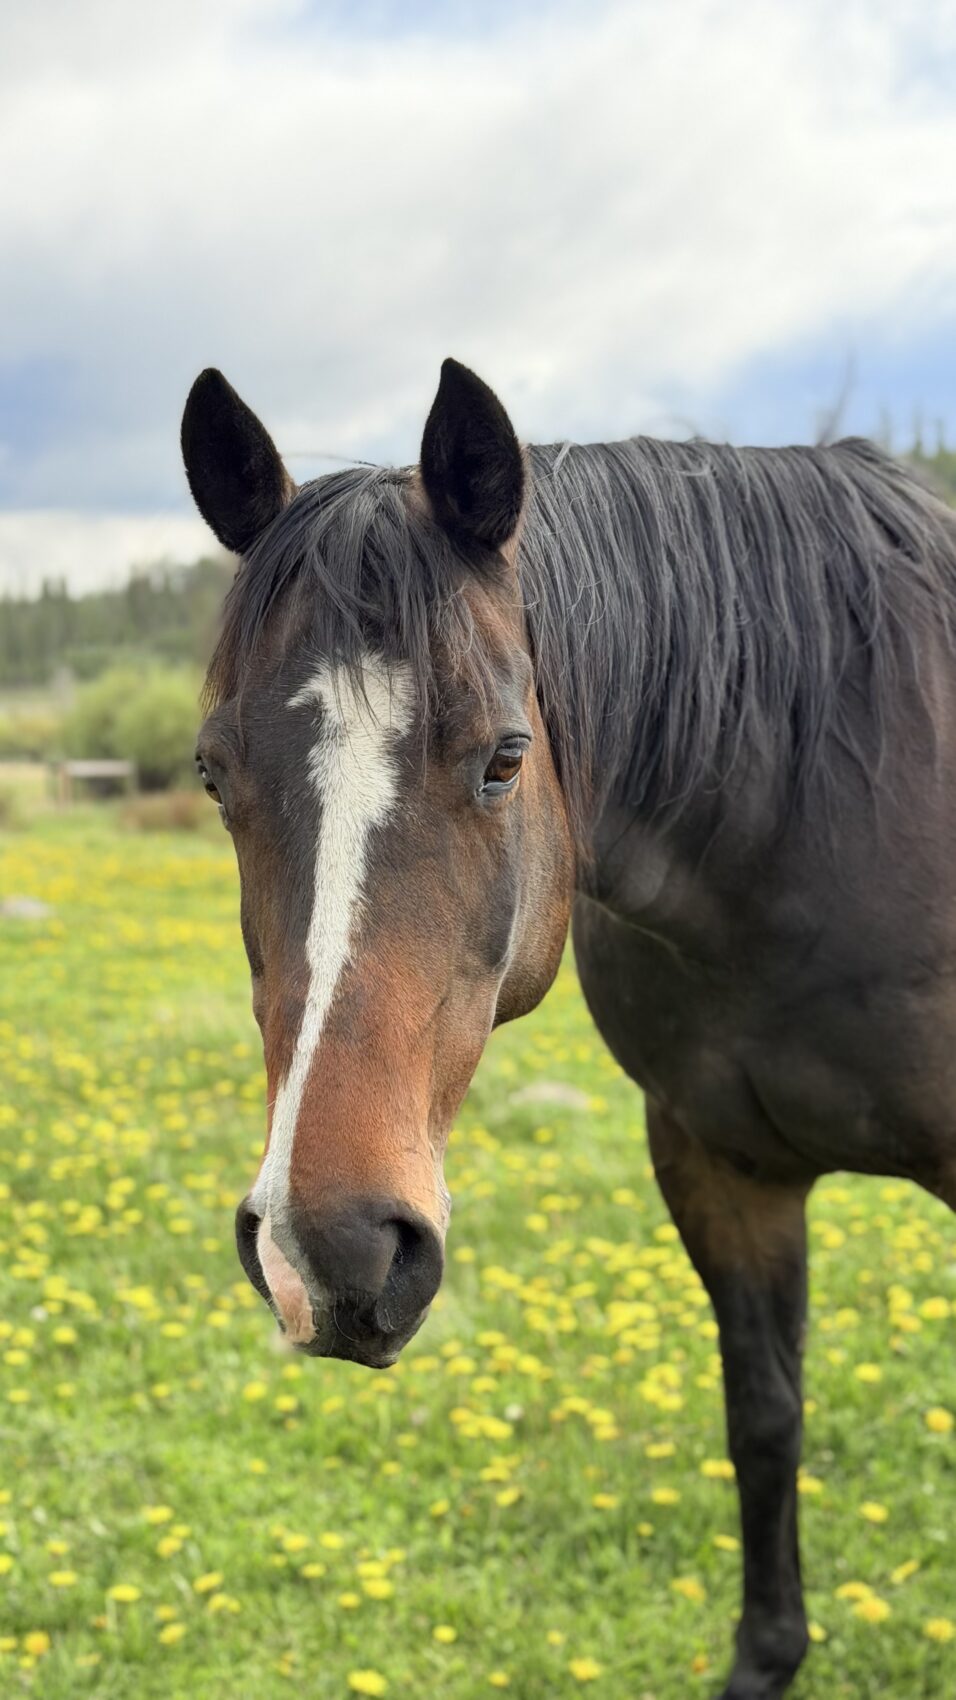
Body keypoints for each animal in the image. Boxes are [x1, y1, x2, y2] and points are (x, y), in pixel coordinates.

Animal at [182, 357, 956, 1700]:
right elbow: (762, 1414)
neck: (816, 811)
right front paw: (764, 1657)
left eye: (504, 757)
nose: (329, 1249)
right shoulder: (717, 1166)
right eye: (213, 773)